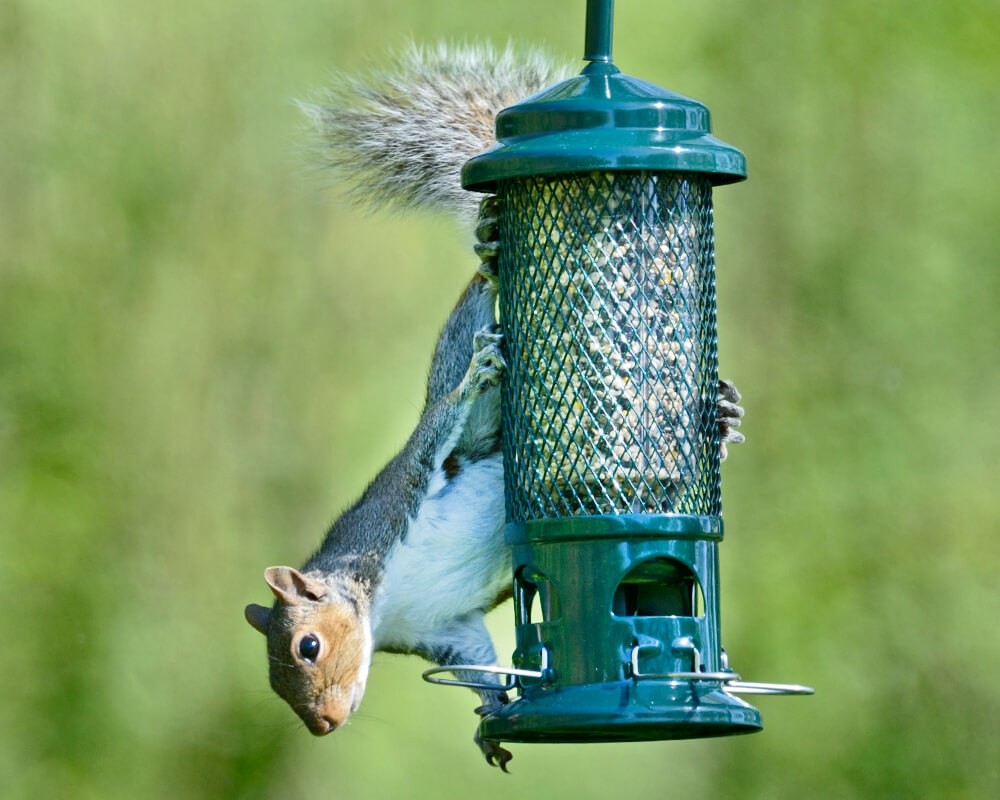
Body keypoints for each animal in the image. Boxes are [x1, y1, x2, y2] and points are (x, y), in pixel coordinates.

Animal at [244, 43, 746, 772]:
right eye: (275, 680)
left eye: (308, 646)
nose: (324, 726)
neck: (381, 601)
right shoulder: (446, 630)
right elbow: (479, 668)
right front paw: (490, 723)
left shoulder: (400, 502)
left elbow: (440, 430)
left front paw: (468, 385)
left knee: (480, 315)